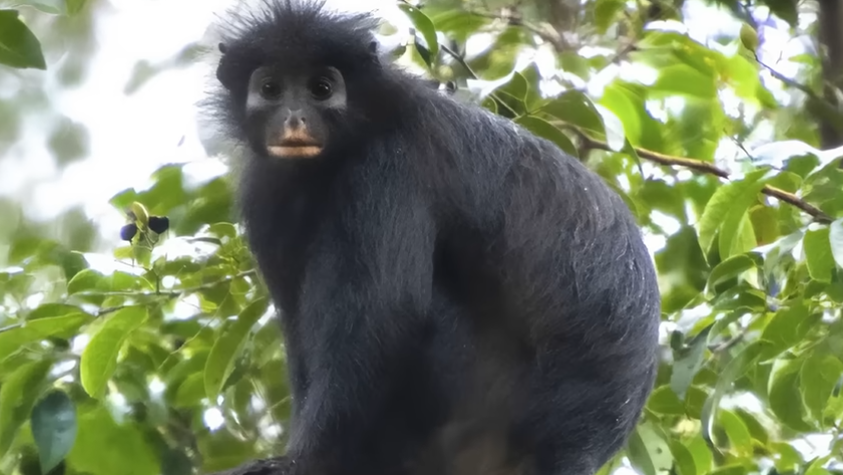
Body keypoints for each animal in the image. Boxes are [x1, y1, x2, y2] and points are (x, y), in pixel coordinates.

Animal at [204, 1, 661, 474]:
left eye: (321, 88)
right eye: (271, 88)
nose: (295, 118)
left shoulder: (389, 164)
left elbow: (385, 316)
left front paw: (303, 460)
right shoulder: (265, 192)